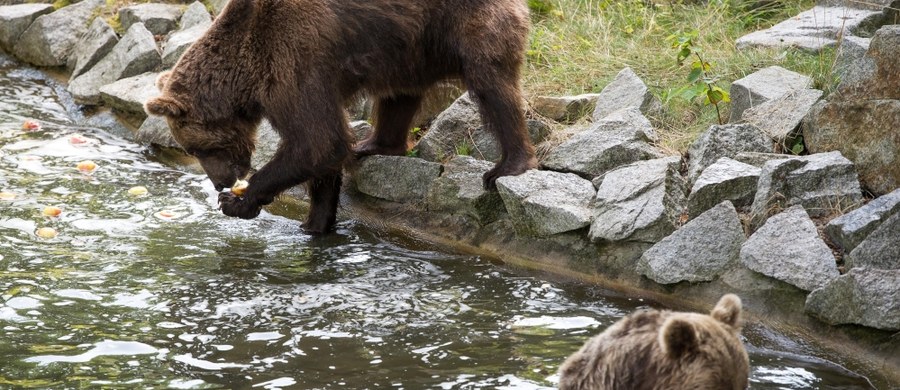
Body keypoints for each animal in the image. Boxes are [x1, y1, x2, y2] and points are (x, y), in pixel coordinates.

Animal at [145, 0, 536, 233]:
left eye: (198, 149)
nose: (219, 183)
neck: (246, 73)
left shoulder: (294, 60)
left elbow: (317, 140)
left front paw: (241, 201)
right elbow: (324, 153)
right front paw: (315, 224)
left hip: (463, 22)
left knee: (491, 84)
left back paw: (507, 165)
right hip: (410, 46)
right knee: (398, 93)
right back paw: (373, 145)